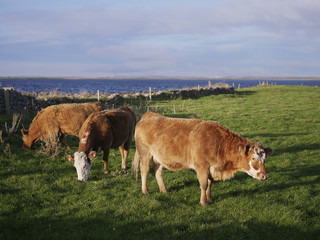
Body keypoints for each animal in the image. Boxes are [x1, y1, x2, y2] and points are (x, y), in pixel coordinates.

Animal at [132, 111, 272, 205]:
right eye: (253, 158)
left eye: (264, 158)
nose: (265, 176)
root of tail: (149, 114)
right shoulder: (201, 166)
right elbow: (204, 184)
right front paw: (203, 202)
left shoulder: (211, 168)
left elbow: (210, 183)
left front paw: (210, 198)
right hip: (145, 153)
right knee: (144, 171)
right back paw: (145, 191)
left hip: (159, 157)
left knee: (157, 172)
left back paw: (164, 190)